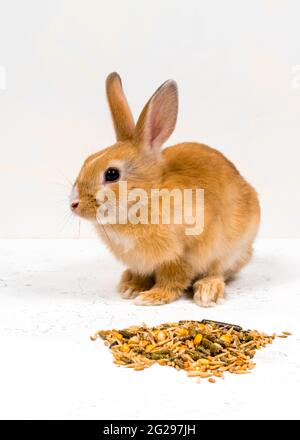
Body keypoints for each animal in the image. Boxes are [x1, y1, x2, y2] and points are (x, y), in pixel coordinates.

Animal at [70, 72, 260, 306]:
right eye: (87, 161)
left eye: (112, 174)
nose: (74, 204)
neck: (148, 196)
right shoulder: (140, 262)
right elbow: (141, 274)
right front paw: (132, 289)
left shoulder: (183, 252)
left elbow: (173, 278)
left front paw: (152, 297)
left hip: (230, 249)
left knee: (218, 271)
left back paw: (207, 291)